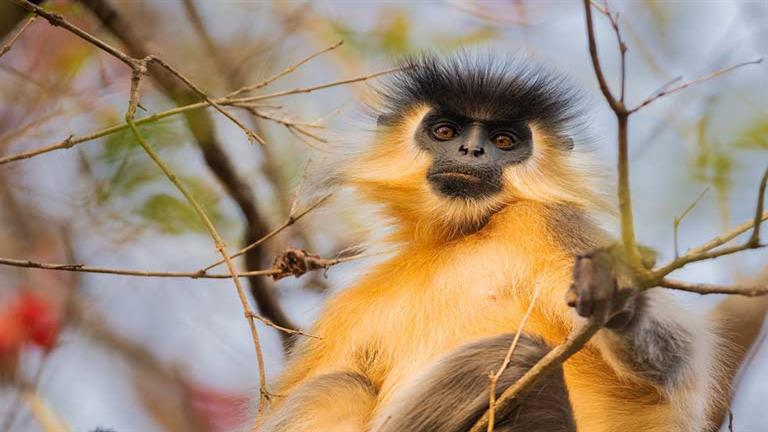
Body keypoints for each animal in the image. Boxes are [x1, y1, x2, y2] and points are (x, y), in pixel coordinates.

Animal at [252, 54, 756, 432]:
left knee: (514, 357)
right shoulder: (349, 306)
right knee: (337, 385)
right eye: (445, 132)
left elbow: (676, 363)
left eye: (503, 140)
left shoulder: (551, 222)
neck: (463, 235)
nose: (471, 151)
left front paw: (617, 298)